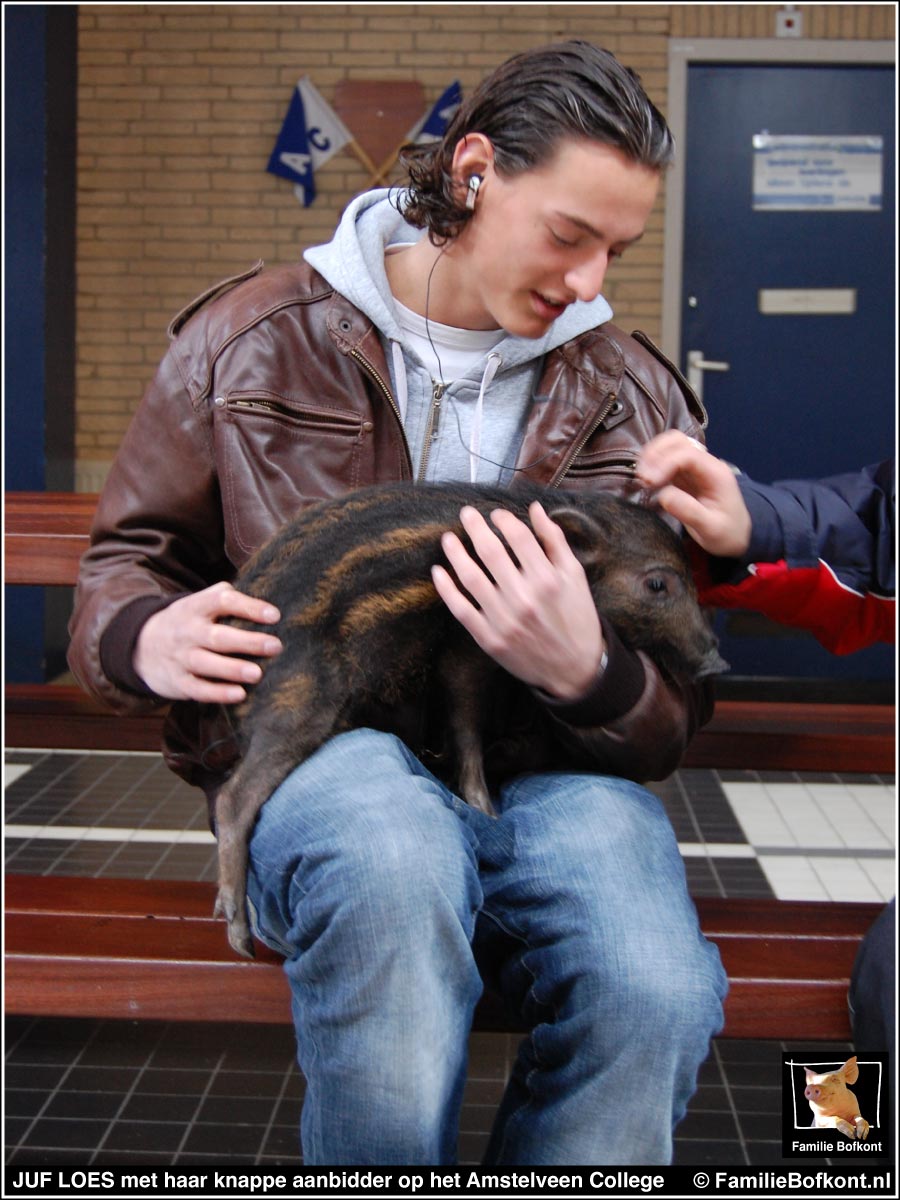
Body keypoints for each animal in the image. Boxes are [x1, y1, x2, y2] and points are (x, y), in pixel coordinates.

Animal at [214, 477, 729, 955]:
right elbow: (466, 723)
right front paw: (488, 812)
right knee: (232, 796)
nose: (717, 663)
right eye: (657, 584)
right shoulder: (469, 644)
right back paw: (238, 936)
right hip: (300, 697)